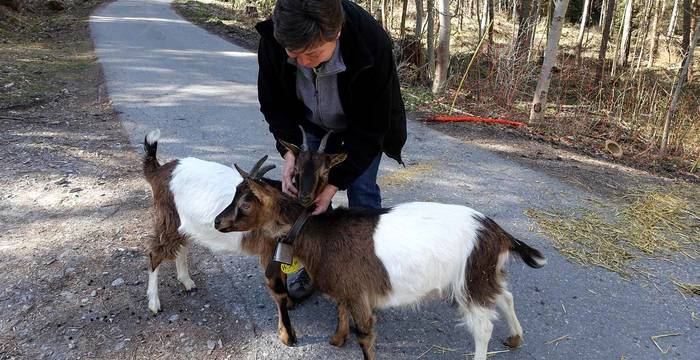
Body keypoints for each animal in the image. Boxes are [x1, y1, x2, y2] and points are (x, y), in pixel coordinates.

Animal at [142, 130, 278, 316]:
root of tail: (161, 171)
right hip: (169, 217)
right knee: (156, 252)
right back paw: (154, 303)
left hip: (184, 224)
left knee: (180, 247)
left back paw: (186, 281)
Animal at [213, 157, 548, 360]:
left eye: (246, 203)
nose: (217, 221)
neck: (320, 234)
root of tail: (498, 232)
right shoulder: (349, 288)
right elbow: (342, 310)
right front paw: (337, 339)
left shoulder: (358, 292)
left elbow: (365, 334)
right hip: (484, 273)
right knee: (505, 296)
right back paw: (515, 338)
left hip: (470, 280)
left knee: (483, 327)